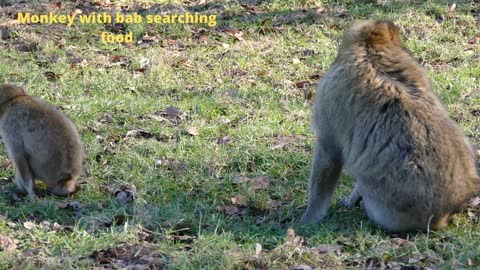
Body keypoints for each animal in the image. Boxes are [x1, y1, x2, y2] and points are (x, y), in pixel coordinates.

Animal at [302, 20, 478, 232]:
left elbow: (329, 156)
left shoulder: (330, 97)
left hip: (387, 208)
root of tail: (449, 209)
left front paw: (310, 216)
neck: (371, 48)